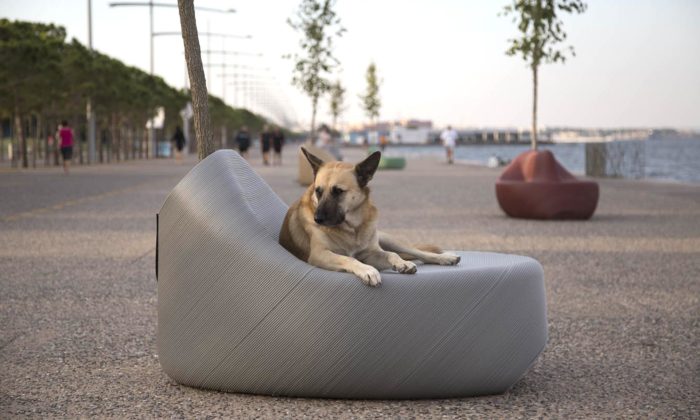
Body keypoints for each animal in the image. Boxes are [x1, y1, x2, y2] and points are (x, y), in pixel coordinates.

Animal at [276, 146, 462, 288]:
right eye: (318, 191)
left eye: (338, 192)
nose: (317, 219)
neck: (352, 228)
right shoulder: (319, 254)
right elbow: (348, 258)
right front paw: (367, 270)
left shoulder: (370, 254)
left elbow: (390, 254)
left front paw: (401, 263)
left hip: (389, 240)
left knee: (417, 252)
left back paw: (445, 257)